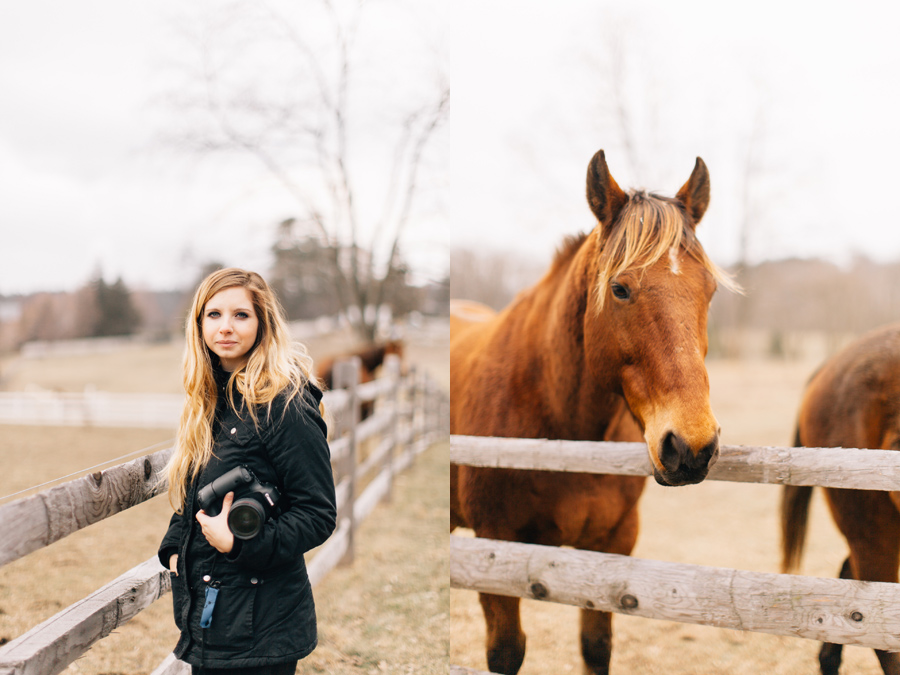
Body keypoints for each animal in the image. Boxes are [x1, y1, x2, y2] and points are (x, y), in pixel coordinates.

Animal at [454, 151, 736, 672]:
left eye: (709, 291)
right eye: (620, 289)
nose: (691, 447)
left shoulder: (612, 545)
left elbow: (596, 646)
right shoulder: (493, 548)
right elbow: (506, 651)